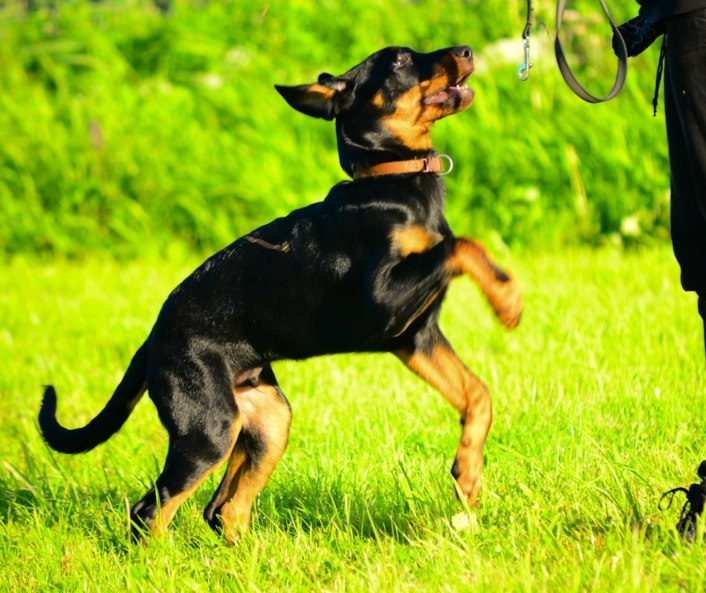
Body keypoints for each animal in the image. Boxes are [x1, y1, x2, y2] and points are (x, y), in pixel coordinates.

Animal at [40, 46, 524, 540]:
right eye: (400, 61)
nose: (466, 51)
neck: (391, 180)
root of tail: (151, 342)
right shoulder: (386, 302)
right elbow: (461, 245)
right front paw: (507, 300)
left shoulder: (414, 336)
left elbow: (478, 394)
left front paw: (468, 472)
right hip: (209, 427)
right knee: (151, 510)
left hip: (267, 418)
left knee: (222, 510)